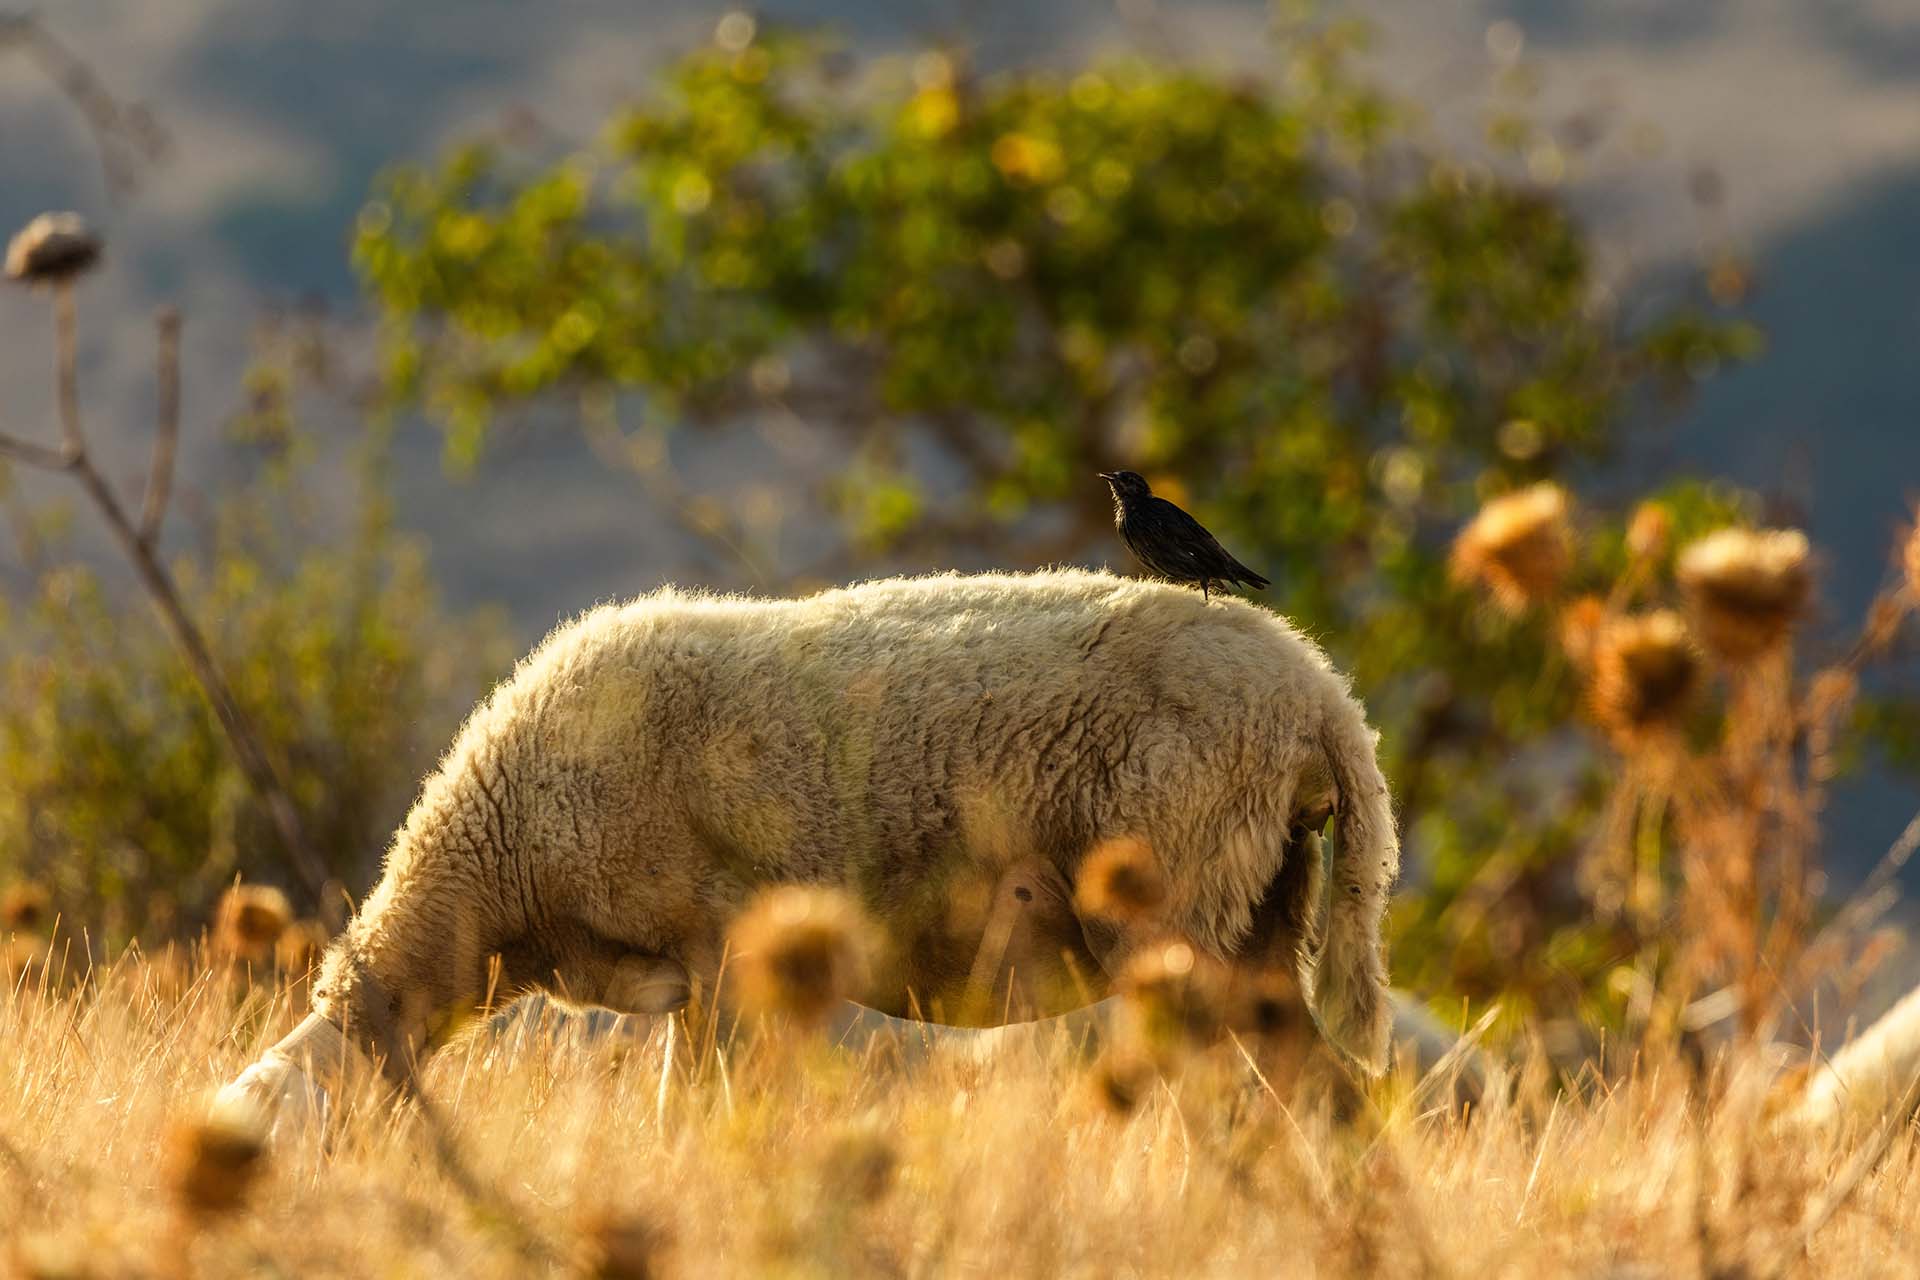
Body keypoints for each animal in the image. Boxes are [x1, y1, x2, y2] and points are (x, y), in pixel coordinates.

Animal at [217, 568, 1399, 1122]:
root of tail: (1324, 697)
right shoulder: (691, 982)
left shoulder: (722, 949)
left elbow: (697, 1114)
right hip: (1260, 906)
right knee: (1327, 1094)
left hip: (1181, 892)